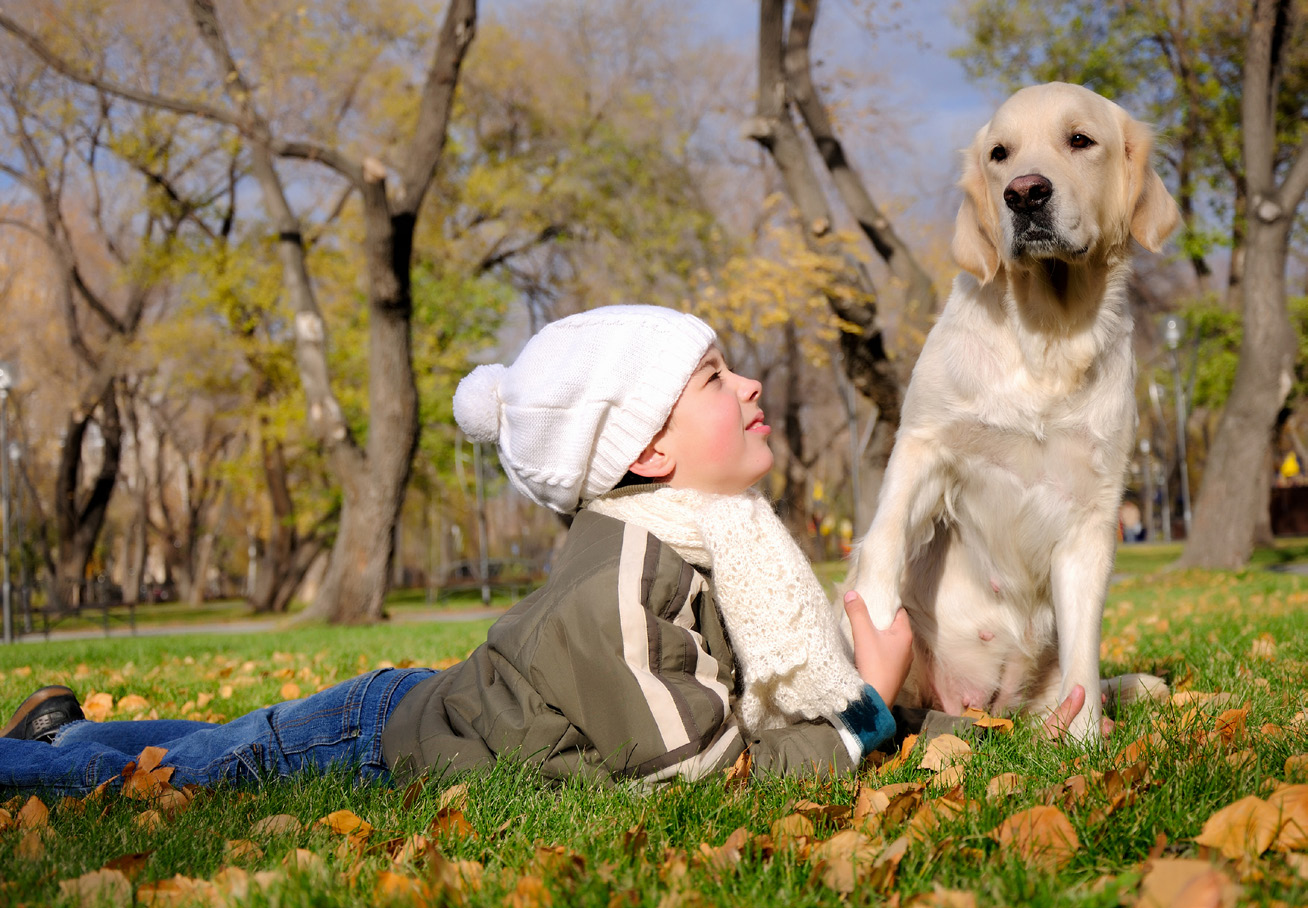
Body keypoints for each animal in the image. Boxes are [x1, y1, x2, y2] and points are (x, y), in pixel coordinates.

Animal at [852, 81, 1182, 743]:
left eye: (1080, 140)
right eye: (999, 154)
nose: (1025, 193)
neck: (1048, 337)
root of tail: (986, 708)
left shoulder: (1092, 513)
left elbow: (1084, 658)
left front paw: (1086, 746)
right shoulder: (924, 445)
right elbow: (883, 552)